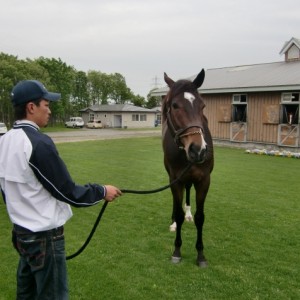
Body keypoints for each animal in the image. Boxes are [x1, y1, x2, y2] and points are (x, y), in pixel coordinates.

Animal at [162, 68, 213, 268]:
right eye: (175, 105)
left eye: (203, 105)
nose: (198, 149)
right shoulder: (175, 180)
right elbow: (178, 213)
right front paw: (177, 251)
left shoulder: (204, 180)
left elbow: (200, 217)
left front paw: (201, 255)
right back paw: (174, 222)